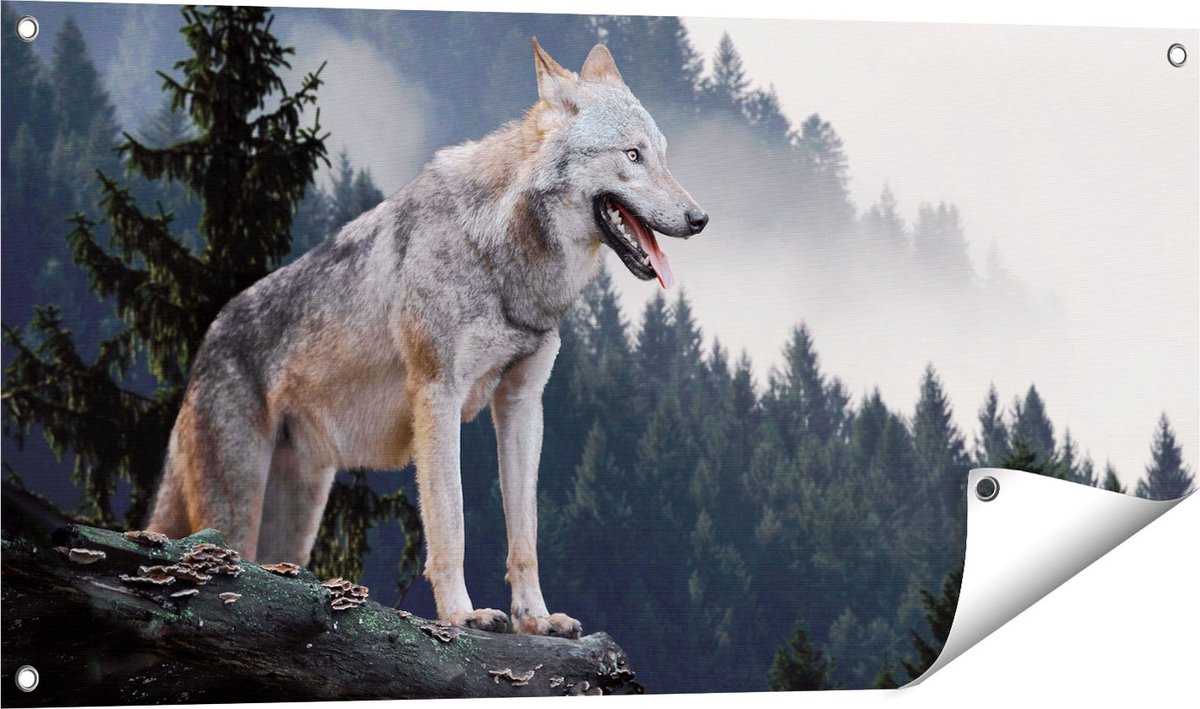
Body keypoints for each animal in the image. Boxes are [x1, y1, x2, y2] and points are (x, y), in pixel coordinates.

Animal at [147, 39, 707, 637]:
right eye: (632, 156)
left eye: (663, 156)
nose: (701, 218)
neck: (501, 256)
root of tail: (206, 342)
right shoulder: (438, 396)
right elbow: (451, 522)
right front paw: (462, 614)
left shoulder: (522, 404)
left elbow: (525, 536)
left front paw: (536, 619)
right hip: (236, 510)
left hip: (296, 518)